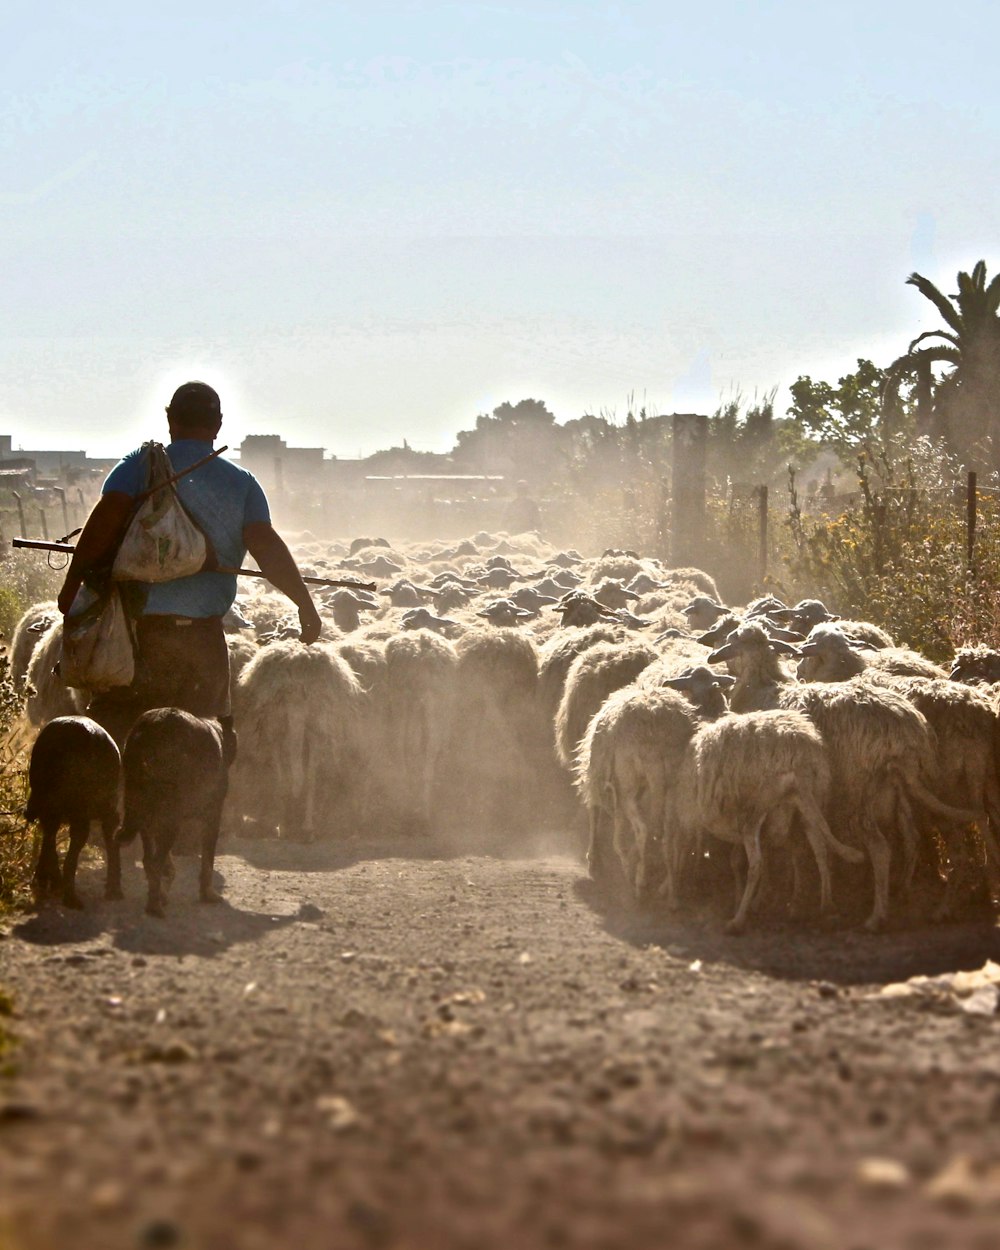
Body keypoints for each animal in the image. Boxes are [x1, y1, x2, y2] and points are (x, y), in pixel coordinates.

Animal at [25, 715, 121, 910]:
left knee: (50, 835)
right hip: (78, 810)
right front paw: (114, 889)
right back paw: (69, 896)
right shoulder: (109, 812)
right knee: (72, 845)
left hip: (46, 800)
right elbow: (111, 842)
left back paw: (49, 882)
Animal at [118, 715, 227, 920]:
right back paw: (155, 906)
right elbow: (208, 860)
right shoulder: (212, 815)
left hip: (145, 812)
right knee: (154, 863)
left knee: (149, 860)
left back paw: (157, 896)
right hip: (170, 818)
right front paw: (207, 893)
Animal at [665, 715, 865, 930]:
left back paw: (738, 920)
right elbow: (737, 858)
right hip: (807, 800)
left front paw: (673, 895)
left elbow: (677, 850)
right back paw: (825, 905)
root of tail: (801, 755)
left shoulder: (685, 815)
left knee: (756, 863)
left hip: (755, 810)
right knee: (819, 848)